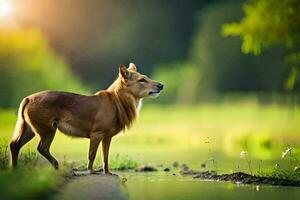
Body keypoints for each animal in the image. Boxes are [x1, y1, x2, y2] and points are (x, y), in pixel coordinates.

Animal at [9, 63, 163, 174]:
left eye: (146, 77)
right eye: (142, 79)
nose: (161, 85)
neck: (118, 103)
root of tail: (27, 99)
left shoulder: (107, 136)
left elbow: (105, 157)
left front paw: (108, 172)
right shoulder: (97, 133)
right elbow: (91, 155)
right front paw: (90, 171)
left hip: (30, 128)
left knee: (14, 145)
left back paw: (14, 170)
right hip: (47, 129)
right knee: (42, 148)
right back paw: (56, 165)